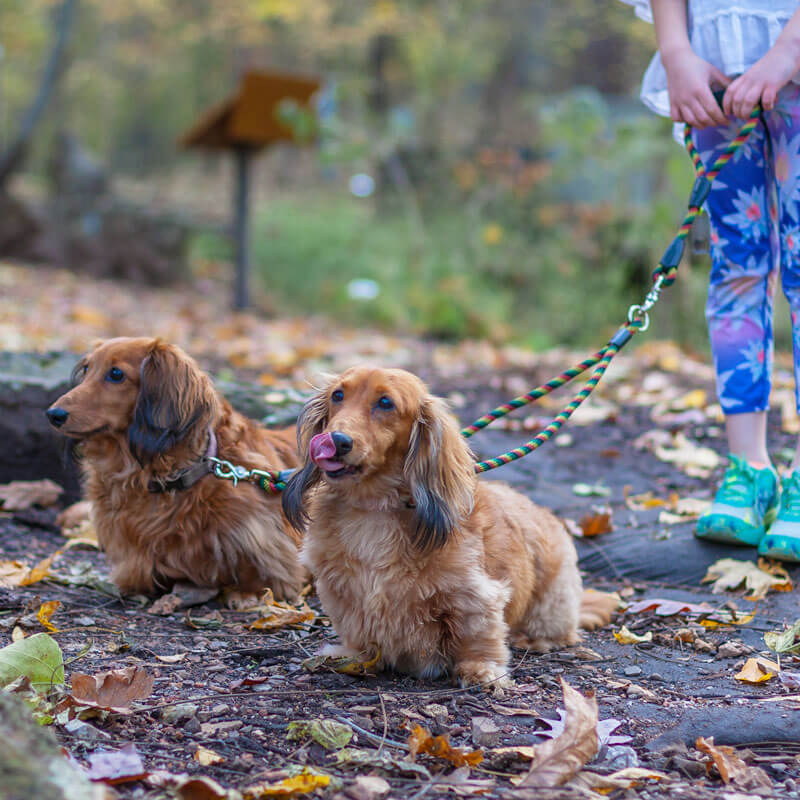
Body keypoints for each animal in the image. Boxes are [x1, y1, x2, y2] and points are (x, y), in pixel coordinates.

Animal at [47, 336, 304, 600]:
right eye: (87, 369)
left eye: (116, 373)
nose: (53, 414)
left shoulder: (269, 542)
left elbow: (260, 574)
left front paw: (245, 595)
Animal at [284, 368, 616, 688]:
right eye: (338, 395)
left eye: (386, 403)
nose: (336, 440)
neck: (374, 508)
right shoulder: (340, 590)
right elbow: (355, 629)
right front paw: (353, 655)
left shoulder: (474, 596)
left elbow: (477, 635)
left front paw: (481, 670)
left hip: (551, 602)